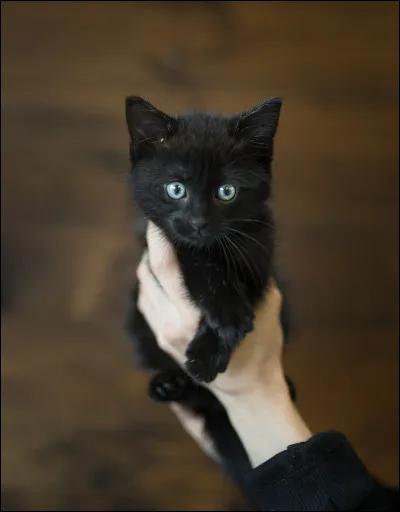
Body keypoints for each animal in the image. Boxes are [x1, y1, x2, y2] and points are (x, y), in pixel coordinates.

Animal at [125, 96, 294, 484]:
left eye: (226, 192)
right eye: (176, 189)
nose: (199, 222)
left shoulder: (261, 252)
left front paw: (208, 350)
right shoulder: (155, 243)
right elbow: (194, 259)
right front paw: (224, 312)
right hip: (138, 329)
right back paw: (168, 385)